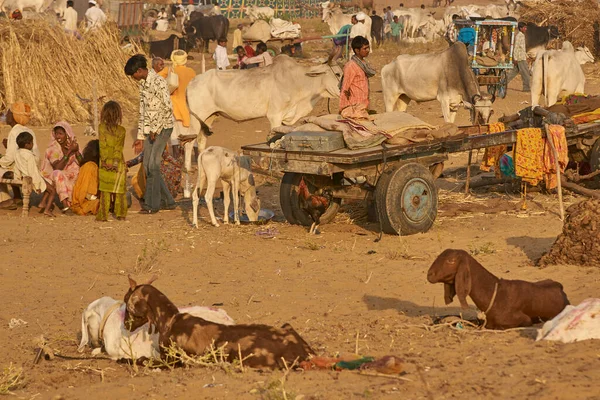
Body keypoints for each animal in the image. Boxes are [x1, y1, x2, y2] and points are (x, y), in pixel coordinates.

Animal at [125, 278, 316, 368]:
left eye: (126, 303)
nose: (125, 325)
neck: (170, 320)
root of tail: (305, 352)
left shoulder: (172, 360)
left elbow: (141, 360)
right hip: (286, 326)